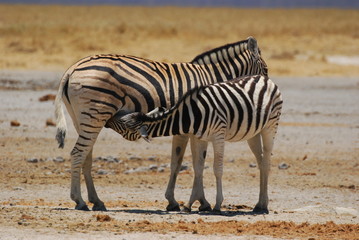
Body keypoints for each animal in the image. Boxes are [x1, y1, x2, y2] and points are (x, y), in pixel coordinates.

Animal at [53, 36, 268, 211]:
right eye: (266, 69)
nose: (266, 91)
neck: (212, 80)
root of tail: (72, 68)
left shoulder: (188, 128)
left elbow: (182, 162)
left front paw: (181, 202)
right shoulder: (194, 127)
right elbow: (190, 163)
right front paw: (199, 202)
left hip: (82, 118)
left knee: (86, 156)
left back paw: (96, 201)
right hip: (95, 114)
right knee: (78, 153)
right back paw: (80, 201)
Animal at [107, 74, 284, 213]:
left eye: (124, 124)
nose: (107, 120)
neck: (192, 115)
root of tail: (264, 78)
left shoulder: (218, 136)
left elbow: (217, 169)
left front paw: (217, 205)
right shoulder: (199, 137)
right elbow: (198, 168)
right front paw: (190, 204)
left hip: (270, 126)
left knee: (266, 162)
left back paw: (263, 206)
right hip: (253, 133)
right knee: (261, 163)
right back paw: (260, 204)